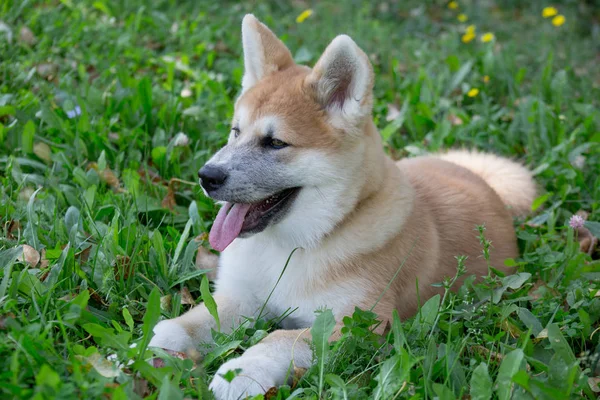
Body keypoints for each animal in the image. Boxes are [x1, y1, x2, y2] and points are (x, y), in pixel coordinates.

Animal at [149, 14, 536, 398]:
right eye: (235, 131)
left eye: (276, 143)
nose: (207, 176)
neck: (291, 248)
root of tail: (478, 175)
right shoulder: (243, 298)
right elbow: (203, 317)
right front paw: (165, 340)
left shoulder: (356, 324)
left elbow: (281, 339)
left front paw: (241, 370)